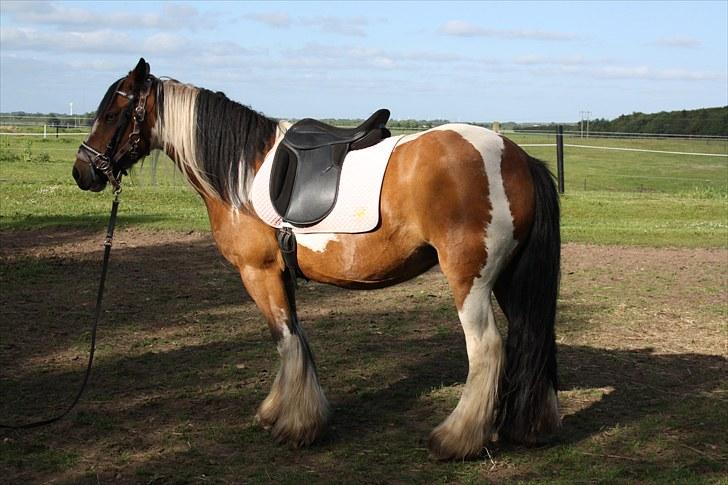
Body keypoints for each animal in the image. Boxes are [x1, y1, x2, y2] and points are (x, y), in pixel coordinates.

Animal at [72, 58, 564, 460]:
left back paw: (456, 439)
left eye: (113, 114)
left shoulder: (259, 273)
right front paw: (280, 411)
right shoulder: (280, 274)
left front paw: (296, 425)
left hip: (470, 280)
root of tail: (517, 157)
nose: (83, 171)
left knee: (487, 349)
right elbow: (295, 338)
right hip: (509, 279)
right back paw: (531, 426)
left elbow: (286, 339)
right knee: (529, 337)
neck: (243, 172)